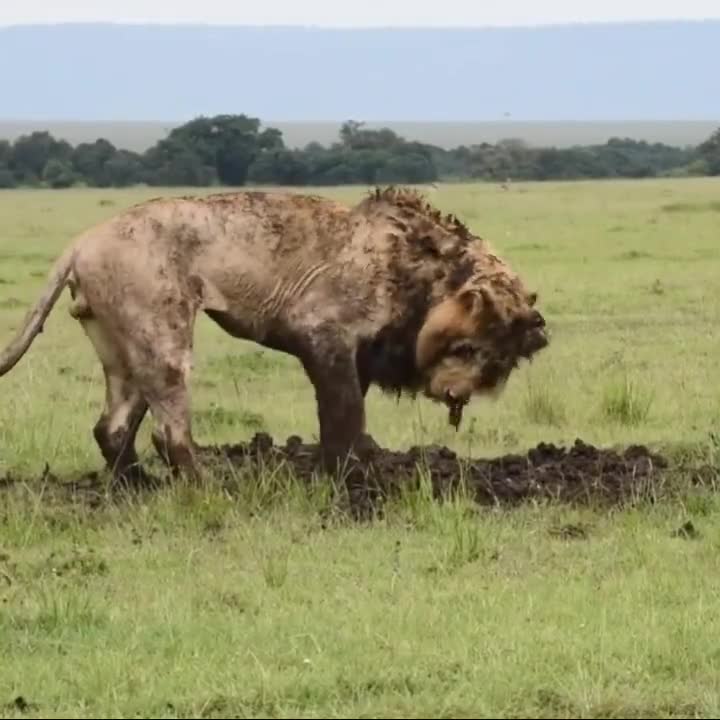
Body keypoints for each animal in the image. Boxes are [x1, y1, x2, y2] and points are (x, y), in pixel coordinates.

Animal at [0, 186, 548, 483]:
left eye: (498, 365)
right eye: (468, 346)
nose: (457, 394)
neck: (418, 273)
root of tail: (80, 242)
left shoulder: (358, 359)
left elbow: (344, 420)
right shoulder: (322, 333)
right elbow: (344, 417)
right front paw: (351, 482)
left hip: (120, 345)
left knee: (112, 428)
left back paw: (139, 487)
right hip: (162, 330)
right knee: (167, 431)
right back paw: (208, 488)